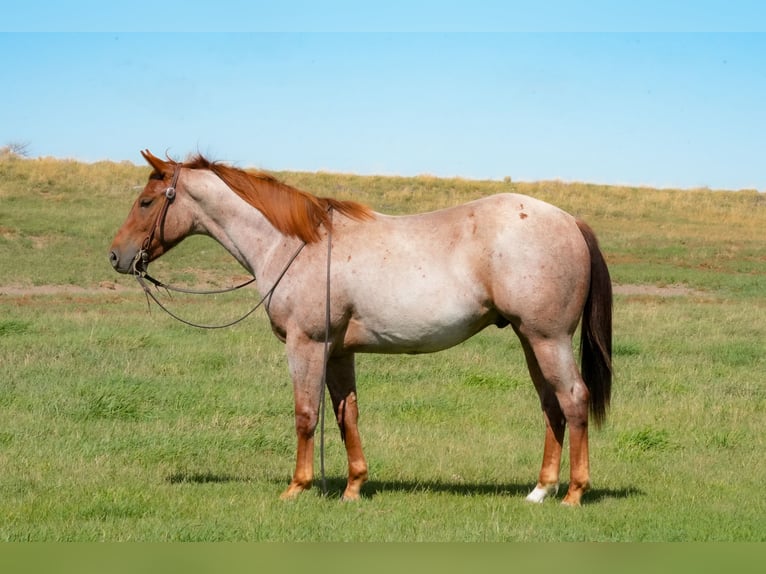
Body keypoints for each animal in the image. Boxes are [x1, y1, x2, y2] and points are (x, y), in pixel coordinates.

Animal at [109, 150, 612, 506]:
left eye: (146, 201)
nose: (116, 256)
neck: (296, 243)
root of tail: (569, 220)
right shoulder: (338, 352)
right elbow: (345, 413)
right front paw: (353, 486)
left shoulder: (307, 344)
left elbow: (305, 414)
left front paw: (297, 486)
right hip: (531, 341)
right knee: (551, 406)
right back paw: (540, 490)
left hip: (547, 339)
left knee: (573, 400)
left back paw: (573, 493)